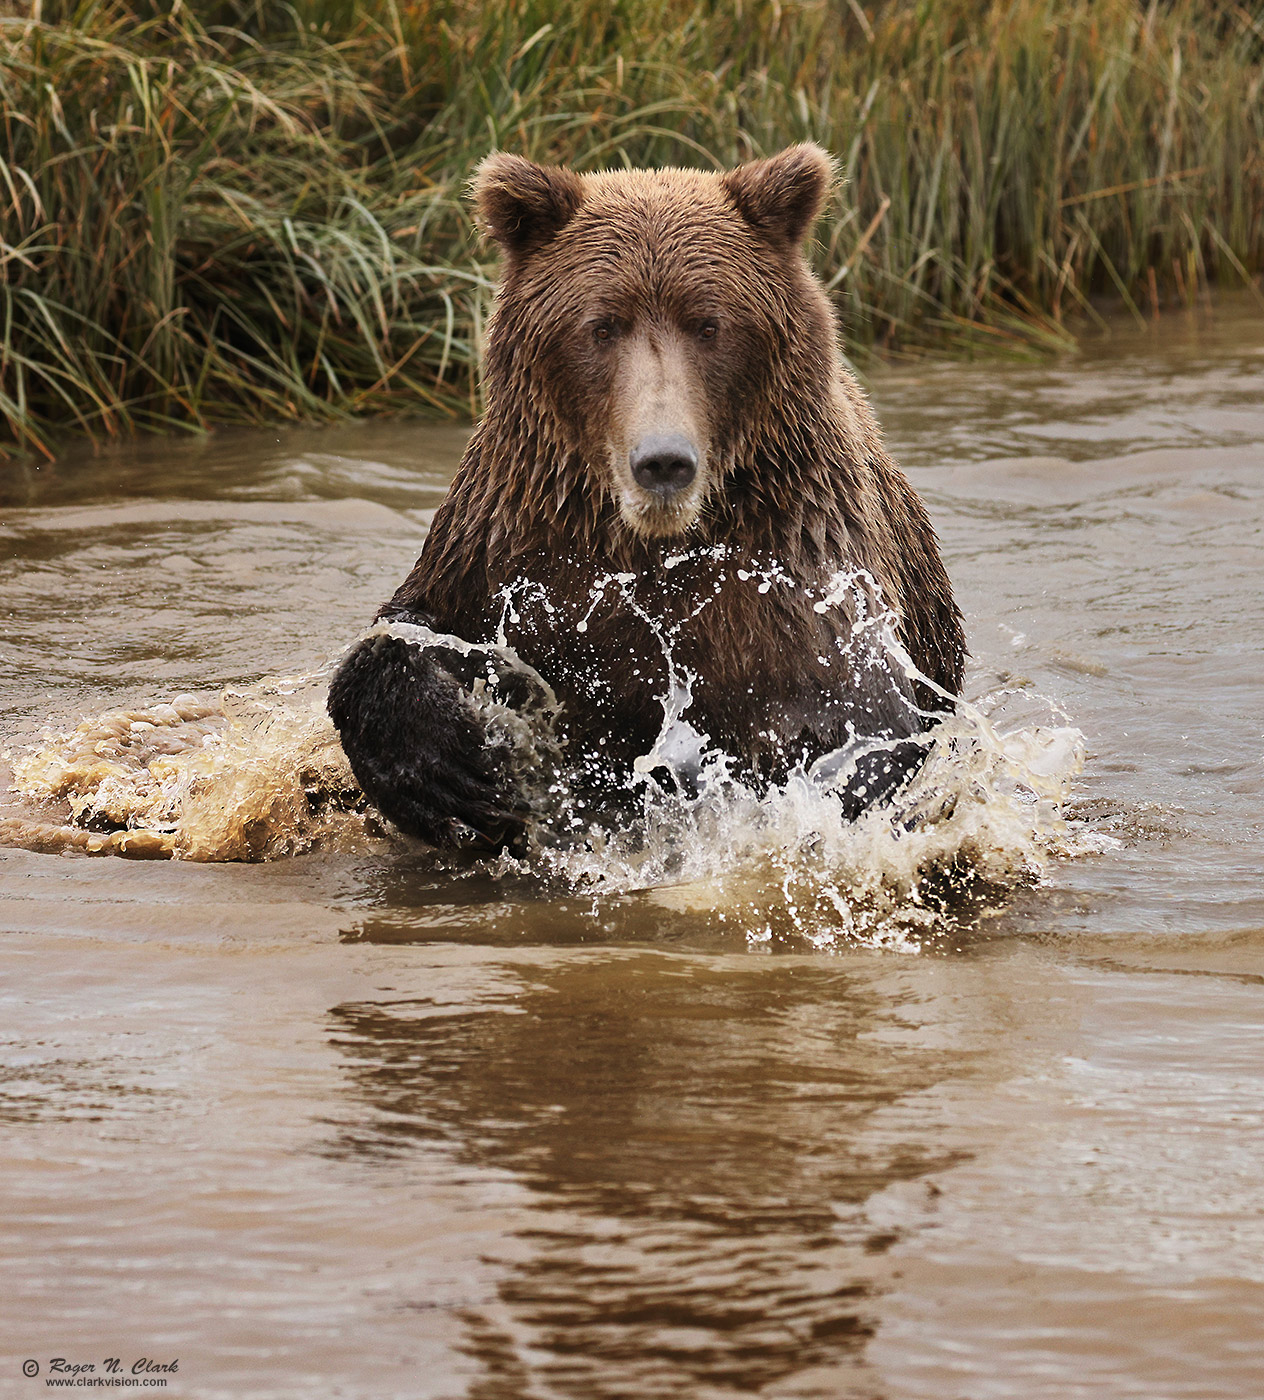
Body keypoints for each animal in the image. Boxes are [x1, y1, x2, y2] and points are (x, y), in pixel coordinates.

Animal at [328, 142, 968, 845]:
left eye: (709, 324)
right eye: (602, 326)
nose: (663, 462)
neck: (651, 543)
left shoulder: (798, 560)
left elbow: (853, 713)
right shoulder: (511, 547)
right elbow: (412, 636)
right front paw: (451, 766)